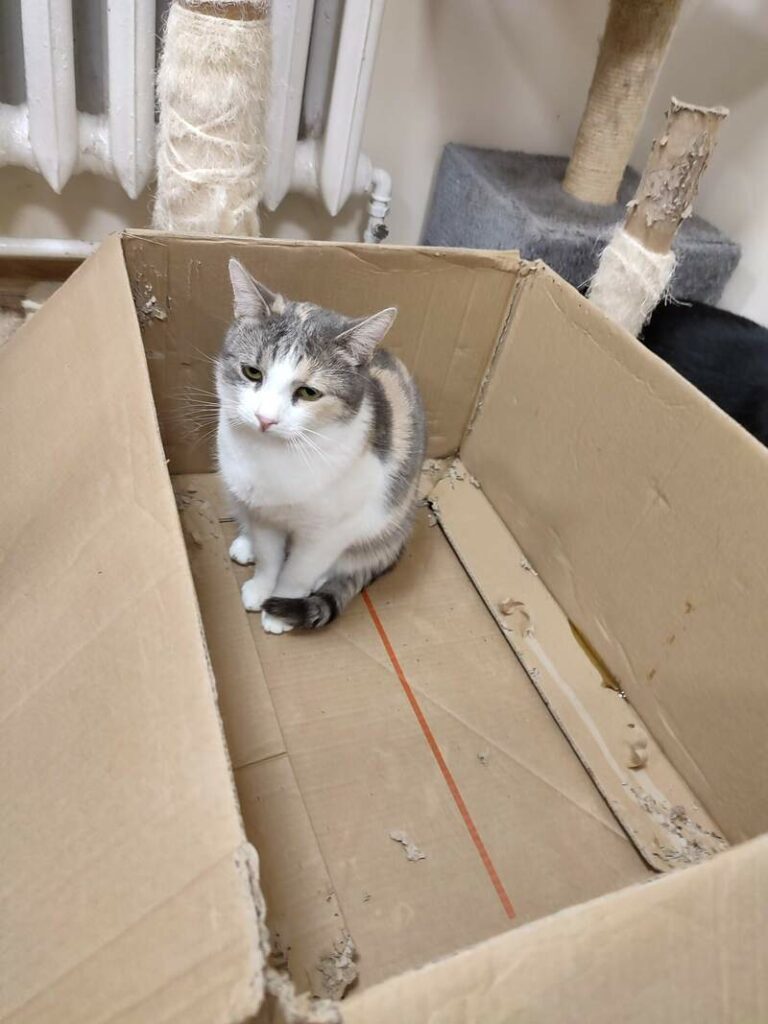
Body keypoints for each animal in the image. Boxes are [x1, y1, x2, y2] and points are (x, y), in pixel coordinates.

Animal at [216, 259, 426, 634]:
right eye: (252, 372)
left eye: (309, 392)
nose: (265, 418)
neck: (273, 458)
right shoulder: (265, 514)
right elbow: (270, 557)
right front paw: (261, 587)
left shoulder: (328, 533)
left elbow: (298, 571)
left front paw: (279, 607)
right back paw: (245, 543)